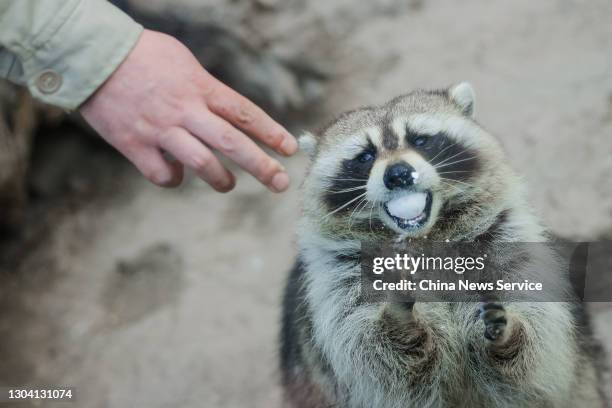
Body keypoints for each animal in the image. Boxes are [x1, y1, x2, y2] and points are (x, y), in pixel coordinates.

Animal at [282, 83, 608, 408]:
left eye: (420, 139)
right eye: (365, 156)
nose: (398, 174)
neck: (424, 236)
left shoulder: (507, 242)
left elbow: (536, 352)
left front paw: (511, 334)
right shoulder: (340, 276)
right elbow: (372, 355)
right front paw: (398, 323)